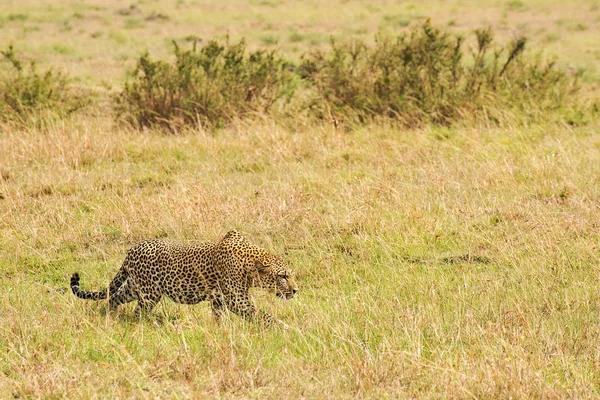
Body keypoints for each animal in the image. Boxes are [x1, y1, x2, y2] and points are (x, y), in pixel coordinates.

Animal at [70, 230, 298, 326]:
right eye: (283, 276)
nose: (295, 290)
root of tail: (132, 249)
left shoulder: (219, 298)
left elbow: (218, 316)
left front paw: (218, 330)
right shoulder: (237, 300)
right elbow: (264, 315)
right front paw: (284, 329)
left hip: (135, 287)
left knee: (114, 296)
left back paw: (107, 315)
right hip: (149, 293)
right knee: (138, 312)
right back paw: (146, 325)